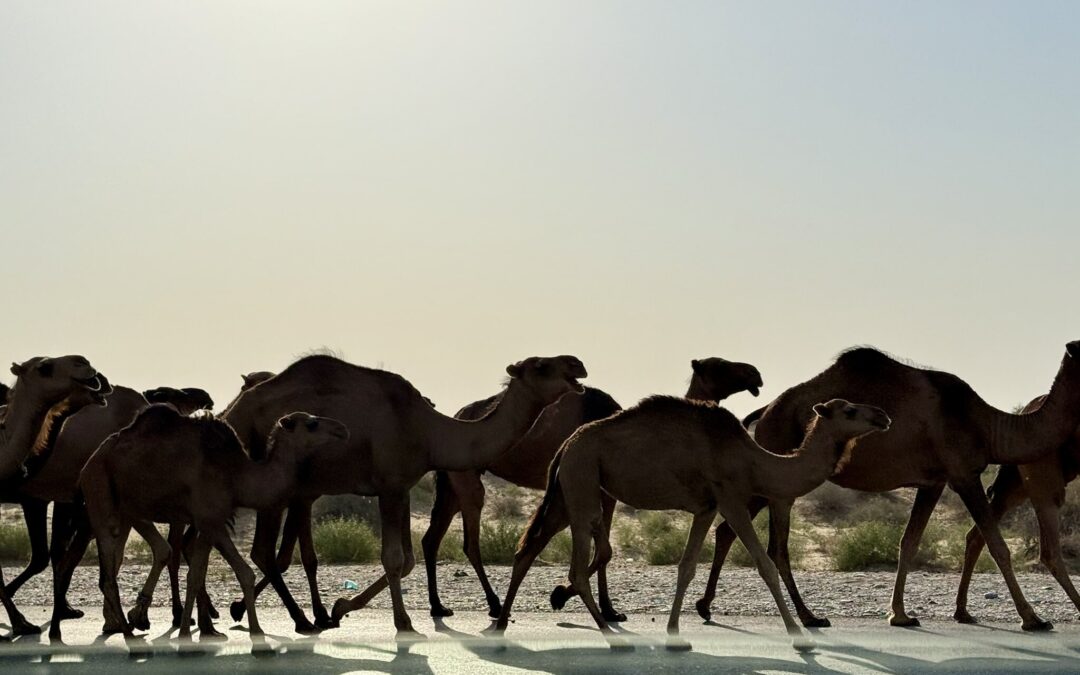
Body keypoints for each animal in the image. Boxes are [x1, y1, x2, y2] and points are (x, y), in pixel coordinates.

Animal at [68, 406, 350, 644]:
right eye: (312, 424)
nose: (342, 429)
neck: (236, 473)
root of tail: (87, 465)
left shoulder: (211, 522)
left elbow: (217, 573)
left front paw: (232, 630)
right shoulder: (209, 518)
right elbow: (217, 574)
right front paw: (196, 632)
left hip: (128, 509)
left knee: (148, 554)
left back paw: (131, 623)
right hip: (100, 496)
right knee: (108, 575)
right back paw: (128, 633)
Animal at [219, 353, 587, 636]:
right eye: (541, 365)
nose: (577, 364)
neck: (428, 431)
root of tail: (232, 412)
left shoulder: (402, 487)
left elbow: (408, 559)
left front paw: (340, 607)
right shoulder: (389, 485)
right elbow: (393, 558)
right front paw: (403, 622)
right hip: (271, 481)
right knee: (263, 551)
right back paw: (295, 619)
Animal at [495, 397, 890, 651]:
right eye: (850, 410)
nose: (884, 416)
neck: (754, 460)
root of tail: (566, 445)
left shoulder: (707, 508)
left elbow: (686, 566)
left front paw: (675, 634)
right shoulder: (730, 499)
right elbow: (764, 564)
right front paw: (799, 635)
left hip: (568, 492)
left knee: (528, 549)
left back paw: (501, 624)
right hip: (582, 484)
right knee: (576, 563)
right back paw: (609, 634)